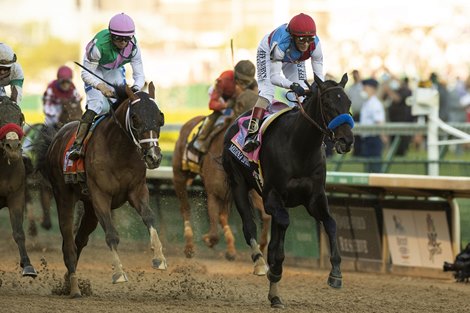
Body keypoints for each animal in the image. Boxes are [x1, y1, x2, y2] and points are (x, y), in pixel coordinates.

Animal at [38, 81, 167, 296]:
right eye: (135, 118)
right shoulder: (100, 196)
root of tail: (56, 138)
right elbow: (112, 235)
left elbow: (149, 217)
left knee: (79, 240)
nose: (153, 157)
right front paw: (119, 273)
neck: (119, 151)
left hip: (90, 210)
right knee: (68, 243)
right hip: (64, 196)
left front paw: (159, 258)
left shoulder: (137, 190)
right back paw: (74, 289)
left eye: (160, 117)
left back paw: (68, 282)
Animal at [172, 88, 268, 268]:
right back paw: (189, 247)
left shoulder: (249, 191)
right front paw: (207, 239)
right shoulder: (213, 192)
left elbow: (265, 215)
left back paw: (230, 250)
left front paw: (262, 245)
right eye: (241, 105)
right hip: (179, 175)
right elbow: (214, 230)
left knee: (223, 215)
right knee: (185, 208)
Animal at [222, 73, 354, 308]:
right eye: (328, 104)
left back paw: (274, 293)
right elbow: (278, 237)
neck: (300, 147)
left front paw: (336, 274)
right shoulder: (272, 197)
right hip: (237, 182)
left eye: (348, 103)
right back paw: (259, 263)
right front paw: (273, 270)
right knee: (248, 226)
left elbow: (331, 223)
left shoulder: (314, 198)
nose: (346, 141)